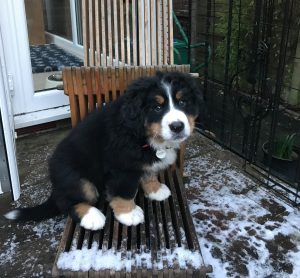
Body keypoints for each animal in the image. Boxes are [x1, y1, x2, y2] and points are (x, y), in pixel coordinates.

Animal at [4, 70, 204, 229]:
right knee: (67, 202)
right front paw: (129, 214)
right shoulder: (122, 167)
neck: (140, 133)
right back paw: (92, 216)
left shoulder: (142, 162)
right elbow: (124, 192)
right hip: (77, 179)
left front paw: (155, 189)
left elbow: (149, 174)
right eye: (157, 107)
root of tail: (56, 186)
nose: (177, 126)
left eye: (183, 102)